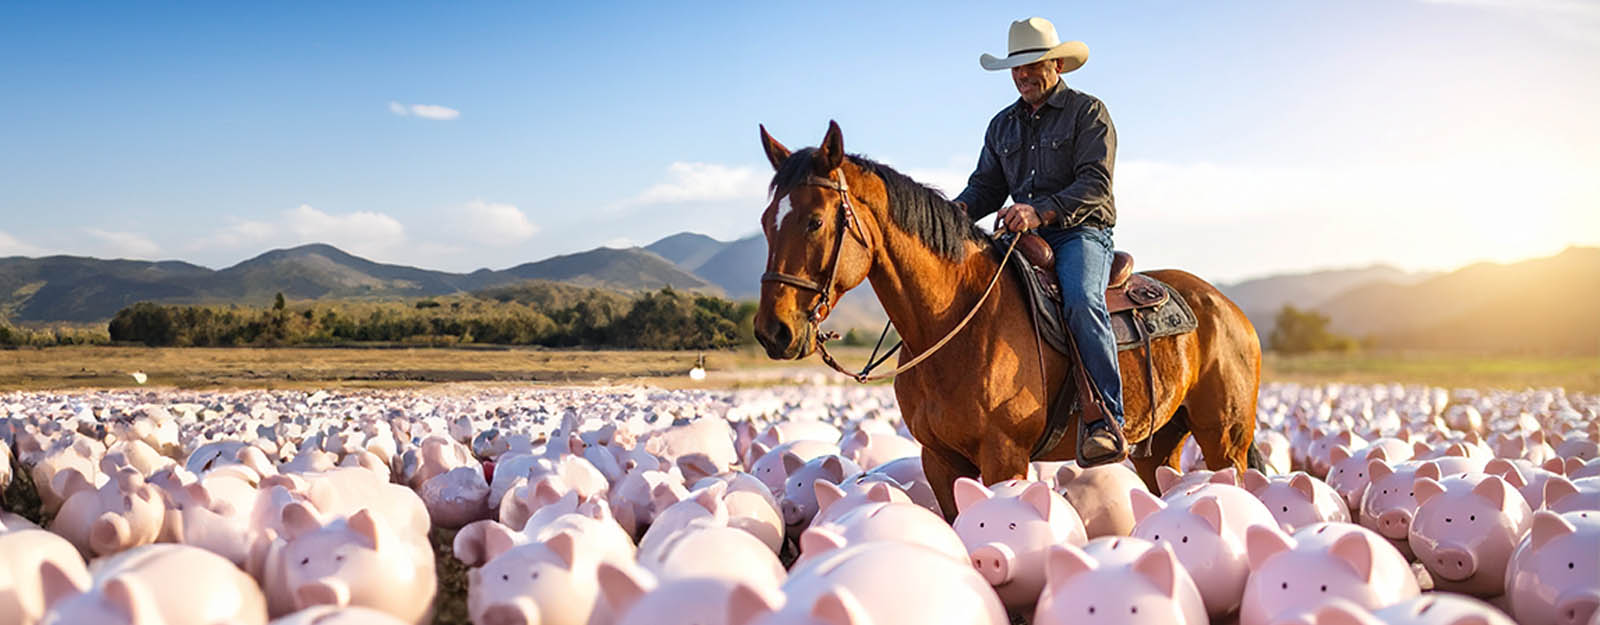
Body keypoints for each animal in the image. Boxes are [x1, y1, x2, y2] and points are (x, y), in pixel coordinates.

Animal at [752, 121, 1265, 518]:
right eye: (764, 221)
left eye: (816, 221)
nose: (773, 330)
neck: (955, 321)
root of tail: (1228, 308)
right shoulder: (940, 461)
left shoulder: (1004, 458)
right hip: (1160, 444)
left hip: (1224, 442)